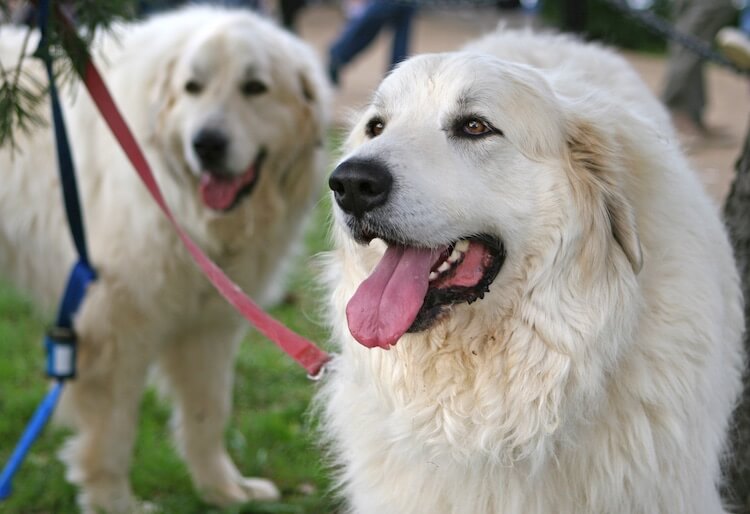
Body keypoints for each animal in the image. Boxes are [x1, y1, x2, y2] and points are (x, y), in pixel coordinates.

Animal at [0, 5, 328, 512]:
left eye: (254, 87)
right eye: (192, 88)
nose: (207, 144)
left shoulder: (210, 324)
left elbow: (208, 414)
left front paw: (224, 490)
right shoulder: (113, 328)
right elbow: (112, 439)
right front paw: (114, 504)